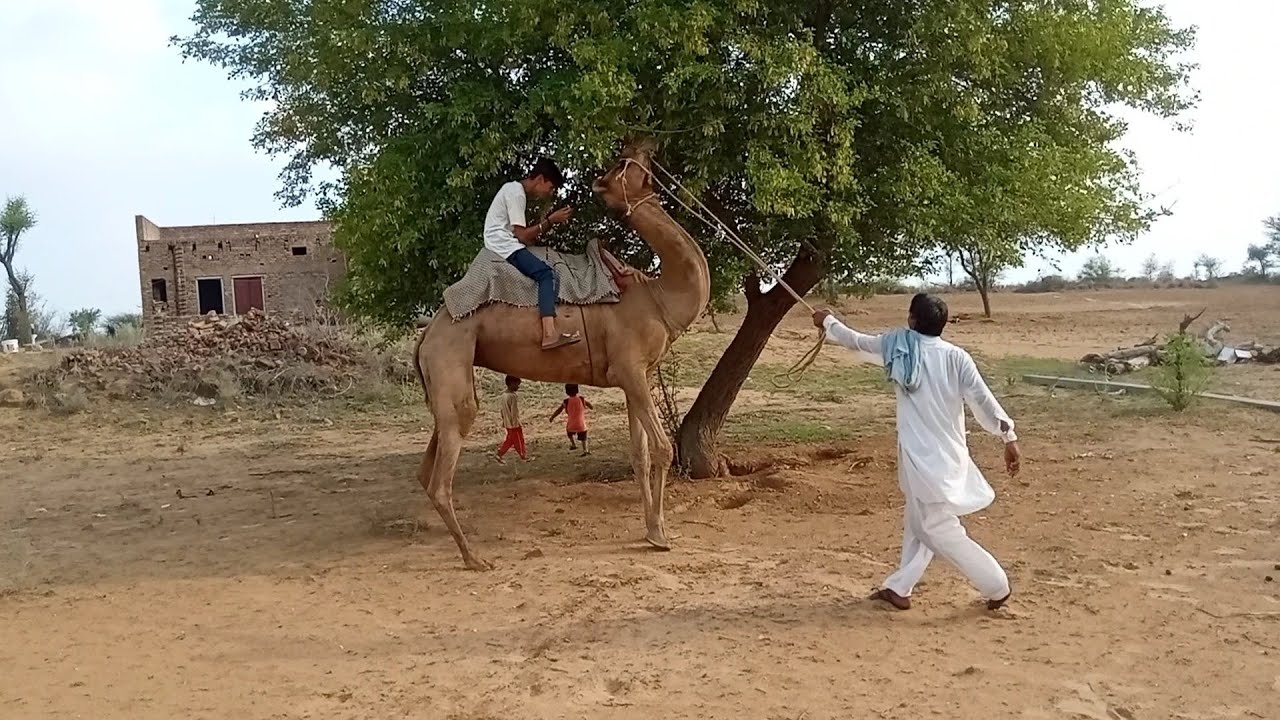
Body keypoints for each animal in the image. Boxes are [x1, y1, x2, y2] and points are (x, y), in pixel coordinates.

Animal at [413, 139, 711, 570]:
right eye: (623, 164)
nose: (645, 145)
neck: (658, 295)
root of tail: (427, 333)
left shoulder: (631, 377)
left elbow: (639, 453)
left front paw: (654, 532)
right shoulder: (632, 369)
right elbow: (662, 448)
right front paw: (662, 537)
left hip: (444, 372)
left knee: (429, 462)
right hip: (452, 356)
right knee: (446, 461)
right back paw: (475, 559)